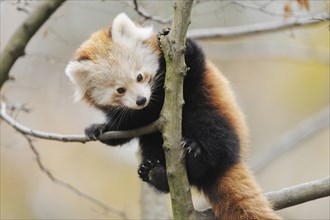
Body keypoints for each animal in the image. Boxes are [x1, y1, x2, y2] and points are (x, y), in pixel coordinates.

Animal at [65, 12, 282, 219]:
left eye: (139, 77)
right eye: (120, 90)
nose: (141, 100)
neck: (154, 102)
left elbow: (193, 66)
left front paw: (181, 43)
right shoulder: (134, 114)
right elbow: (127, 128)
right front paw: (99, 128)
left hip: (216, 120)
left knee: (211, 133)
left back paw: (195, 153)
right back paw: (154, 173)